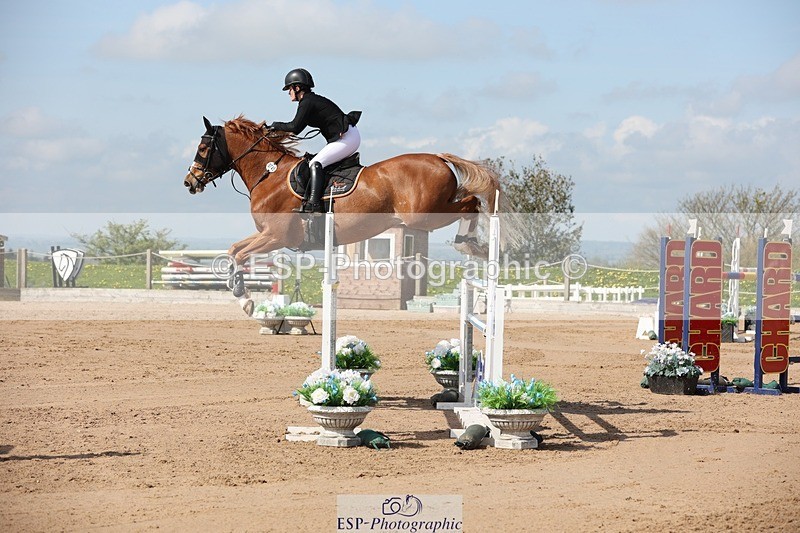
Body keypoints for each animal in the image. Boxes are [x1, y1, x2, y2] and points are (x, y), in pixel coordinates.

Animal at [183, 115, 514, 315]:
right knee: (470, 203)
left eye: (203, 148)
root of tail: (440, 158)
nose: (190, 182)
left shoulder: (276, 236)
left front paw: (246, 299)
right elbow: (232, 250)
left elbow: (240, 255)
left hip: (424, 215)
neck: (270, 174)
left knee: (471, 203)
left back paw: (469, 243)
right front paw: (238, 292)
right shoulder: (266, 234)